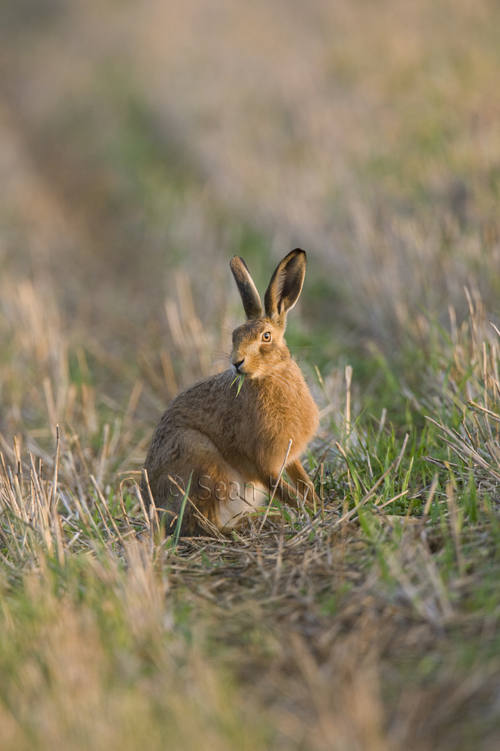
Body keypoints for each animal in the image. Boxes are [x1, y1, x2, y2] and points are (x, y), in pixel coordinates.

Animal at [141, 248, 320, 536]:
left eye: (266, 336)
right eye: (234, 336)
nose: (236, 363)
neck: (269, 376)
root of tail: (155, 513)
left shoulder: (289, 457)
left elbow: (304, 484)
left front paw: (321, 507)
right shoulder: (263, 463)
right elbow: (284, 492)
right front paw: (308, 514)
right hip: (204, 464)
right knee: (205, 524)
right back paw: (261, 521)